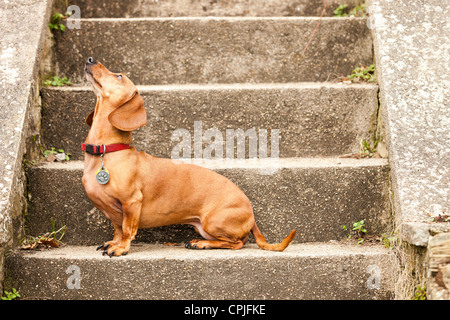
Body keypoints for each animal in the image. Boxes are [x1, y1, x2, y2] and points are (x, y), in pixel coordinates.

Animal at [82, 58, 298, 258]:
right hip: (204, 226)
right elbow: (117, 229)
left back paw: (202, 244)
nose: (90, 59)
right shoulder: (114, 213)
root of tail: (251, 214)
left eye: (119, 76)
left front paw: (121, 248)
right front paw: (114, 242)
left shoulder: (132, 202)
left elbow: (127, 230)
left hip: (212, 222)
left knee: (237, 243)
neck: (107, 151)